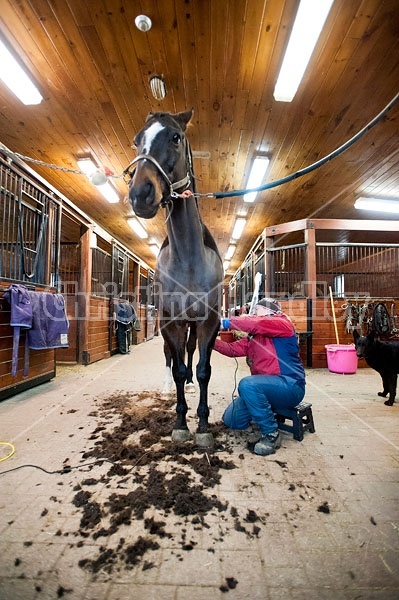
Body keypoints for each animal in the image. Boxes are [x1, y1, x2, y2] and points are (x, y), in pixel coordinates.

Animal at [126, 110, 223, 448]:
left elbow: (204, 369)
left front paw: (203, 425)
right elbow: (177, 366)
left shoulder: (209, 321)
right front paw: (181, 422)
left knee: (190, 353)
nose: (140, 194)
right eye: (137, 140)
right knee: (172, 358)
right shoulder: (169, 322)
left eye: (176, 137)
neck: (189, 260)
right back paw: (170, 387)